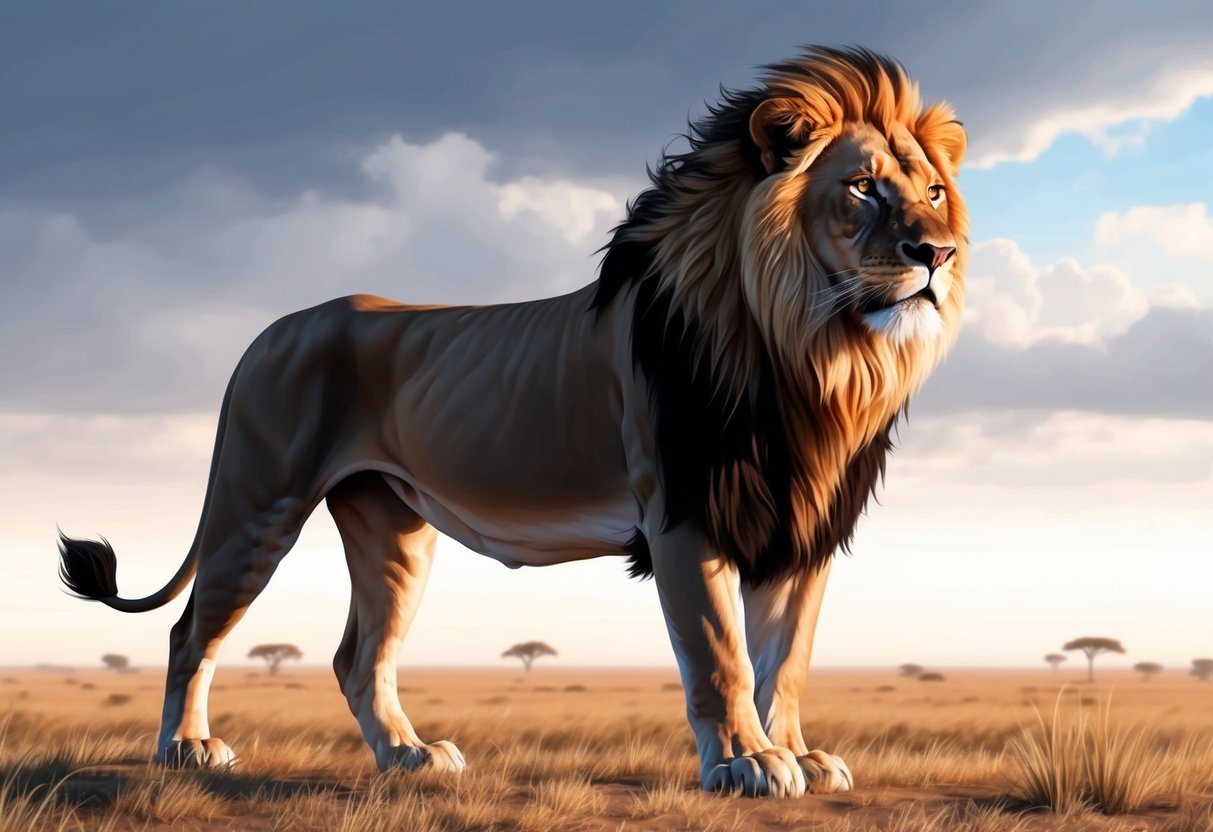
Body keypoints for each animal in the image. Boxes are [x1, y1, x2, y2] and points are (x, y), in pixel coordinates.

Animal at [59, 46, 966, 798]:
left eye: (930, 193)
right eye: (861, 187)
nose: (937, 254)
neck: (813, 354)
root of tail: (267, 332)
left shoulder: (797, 523)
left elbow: (787, 661)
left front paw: (797, 754)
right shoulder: (683, 515)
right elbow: (722, 658)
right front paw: (747, 764)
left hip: (392, 530)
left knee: (358, 656)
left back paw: (408, 756)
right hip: (258, 503)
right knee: (190, 632)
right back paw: (186, 750)